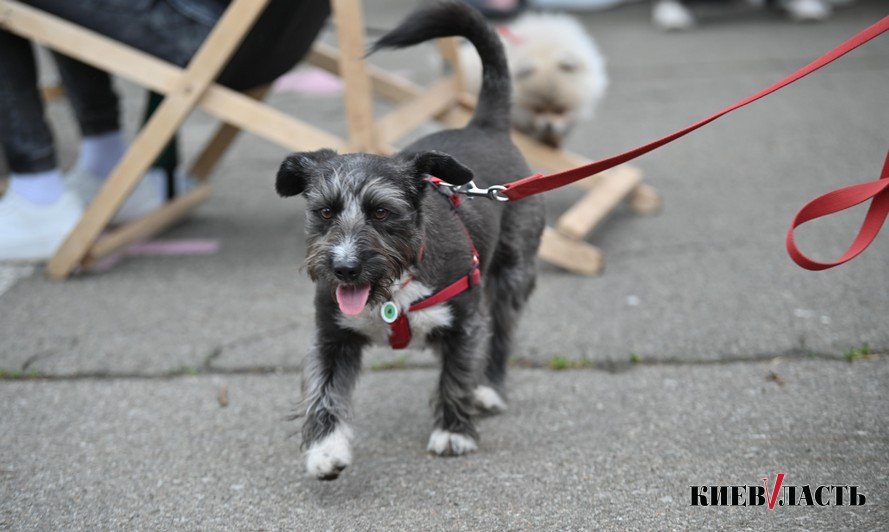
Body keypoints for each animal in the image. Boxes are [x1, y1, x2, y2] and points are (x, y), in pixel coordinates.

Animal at [274, 1, 544, 482]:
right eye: (325, 211)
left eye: (382, 211)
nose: (344, 268)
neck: (392, 288)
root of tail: (485, 125)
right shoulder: (331, 337)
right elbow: (323, 389)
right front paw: (325, 449)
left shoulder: (464, 322)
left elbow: (457, 372)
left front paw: (454, 431)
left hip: (513, 274)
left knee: (502, 335)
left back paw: (489, 389)